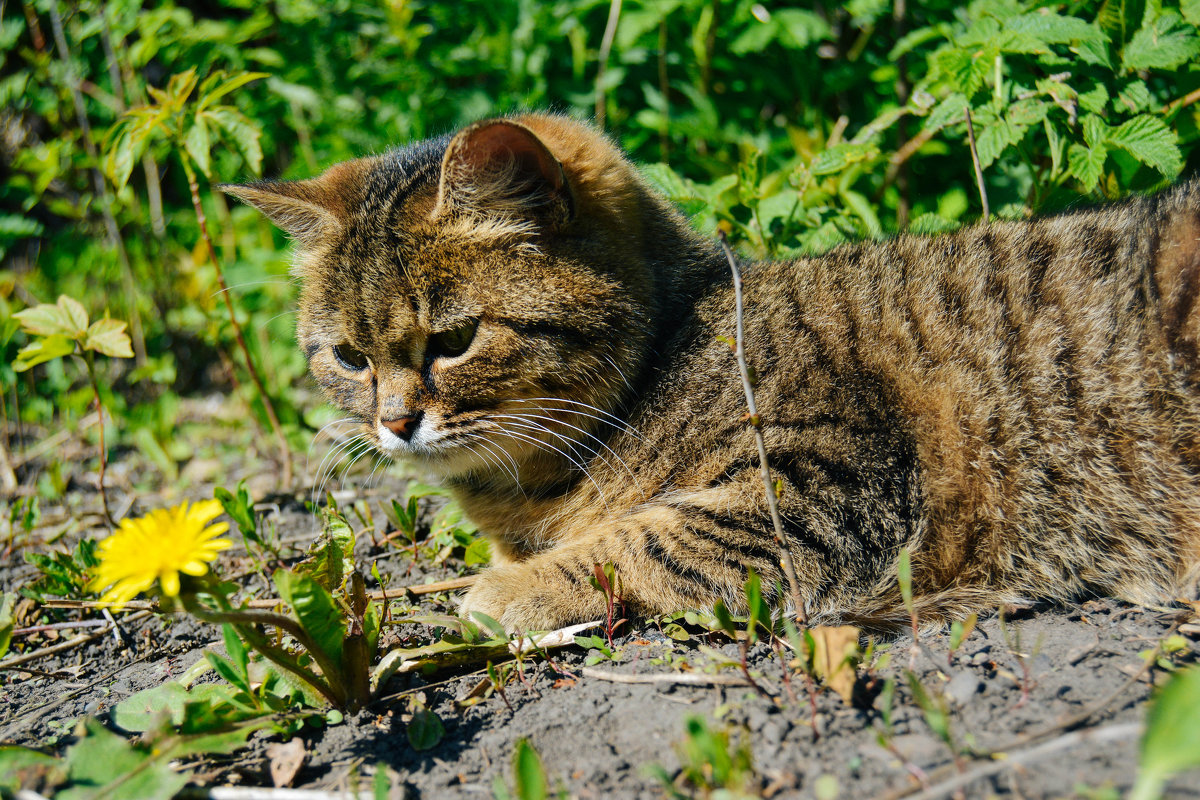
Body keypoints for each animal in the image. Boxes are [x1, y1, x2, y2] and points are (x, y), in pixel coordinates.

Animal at [220, 112, 1200, 633]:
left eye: (452, 341)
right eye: (349, 357)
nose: (391, 422)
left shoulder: (833, 484)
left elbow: (644, 539)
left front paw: (508, 589)